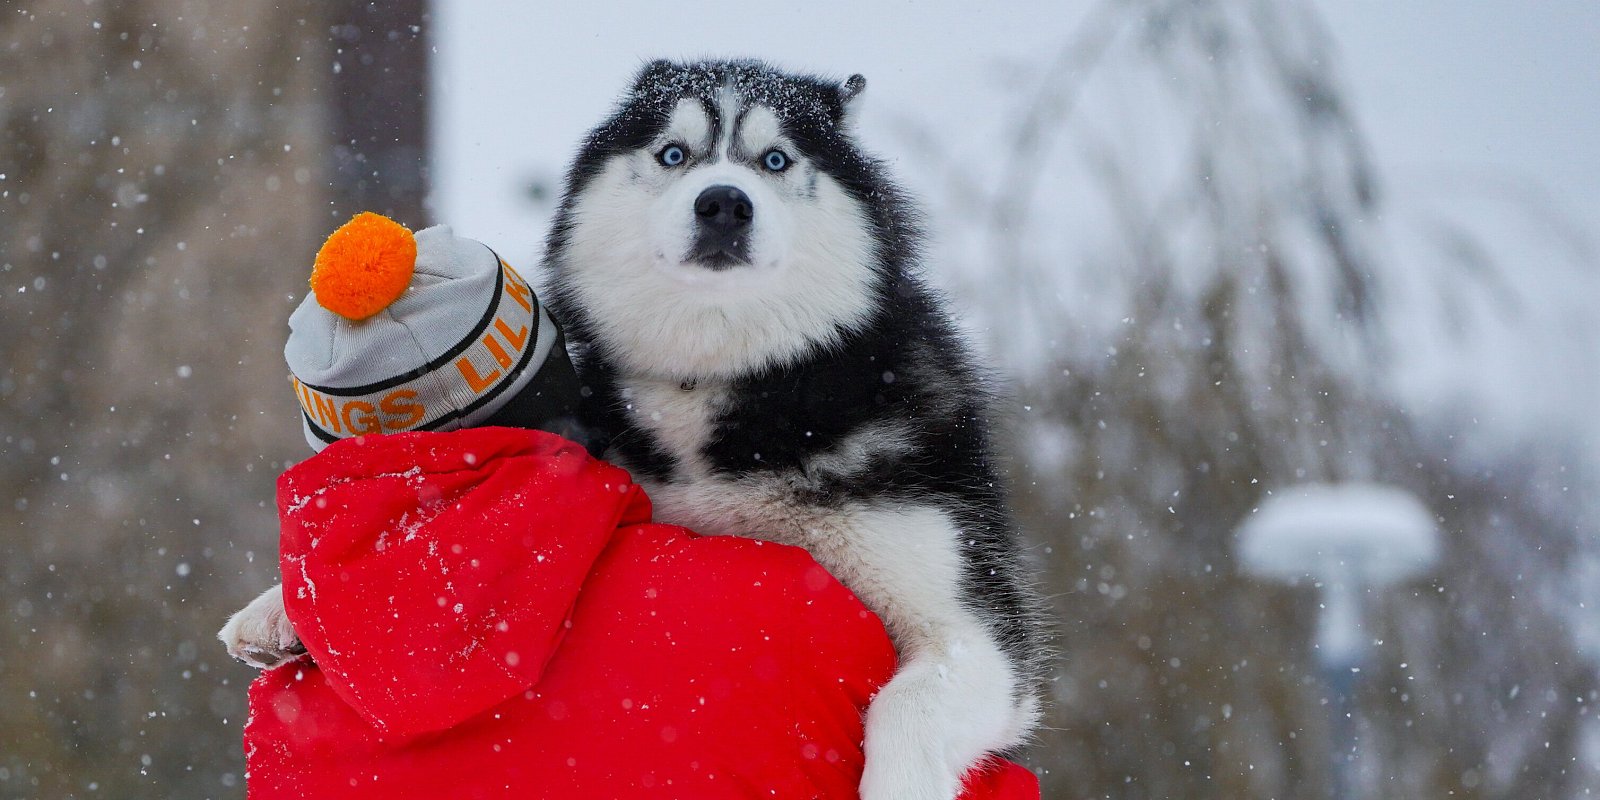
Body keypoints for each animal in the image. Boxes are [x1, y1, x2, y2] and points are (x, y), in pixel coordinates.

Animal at [547, 59, 1049, 796]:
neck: (741, 381)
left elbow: (909, 703)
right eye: (674, 154)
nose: (723, 203)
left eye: (776, 159)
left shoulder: (973, 626)